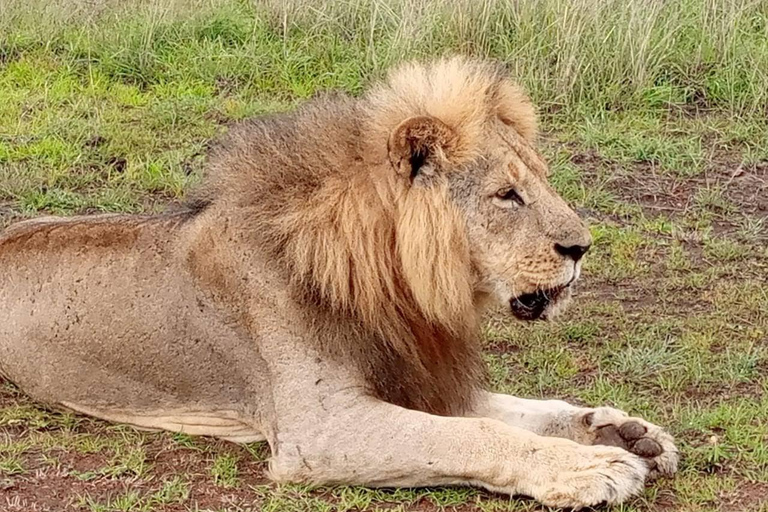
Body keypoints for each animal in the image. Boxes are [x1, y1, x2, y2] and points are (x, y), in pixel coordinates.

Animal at [3, 57, 680, 508]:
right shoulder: (322, 431)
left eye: (537, 181)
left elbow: (524, 410)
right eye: (507, 195)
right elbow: (476, 434)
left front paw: (627, 432)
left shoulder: (415, 376)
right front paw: (590, 468)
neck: (394, 288)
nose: (582, 248)